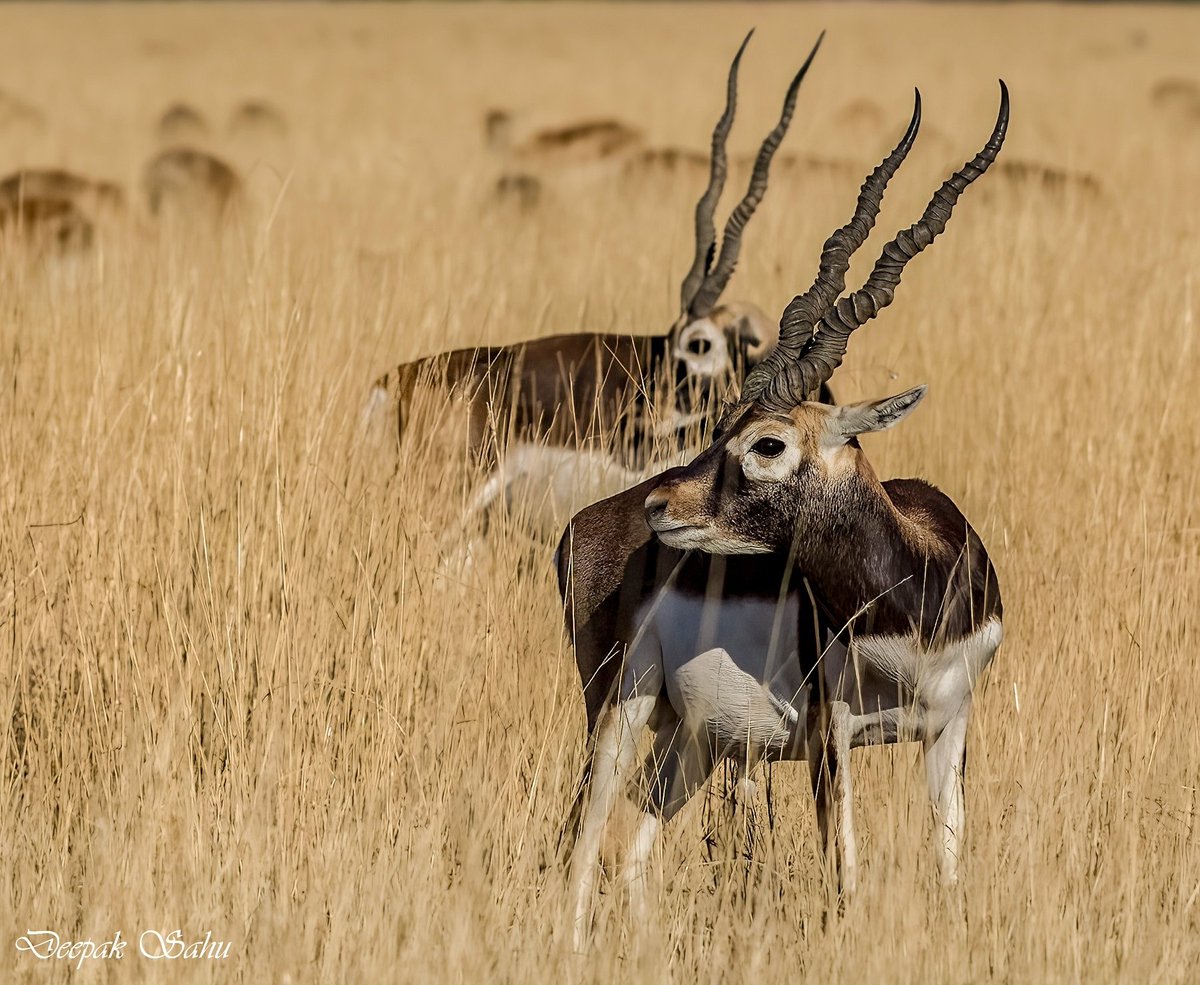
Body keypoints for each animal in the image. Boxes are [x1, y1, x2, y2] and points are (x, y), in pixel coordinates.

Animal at [558, 82, 1009, 942]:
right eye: (727, 422)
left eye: (765, 441)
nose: (662, 502)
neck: (910, 605)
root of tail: (584, 524)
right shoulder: (832, 733)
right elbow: (847, 879)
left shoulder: (950, 728)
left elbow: (949, 868)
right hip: (621, 703)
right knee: (578, 841)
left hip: (690, 739)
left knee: (630, 854)